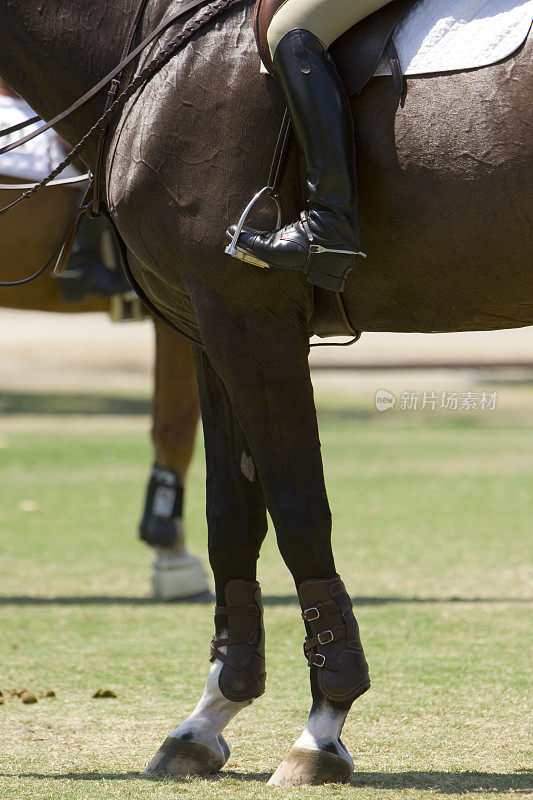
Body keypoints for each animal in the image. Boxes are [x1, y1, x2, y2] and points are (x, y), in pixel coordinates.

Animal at [1, 0, 528, 788]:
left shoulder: (248, 320)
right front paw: (211, 711)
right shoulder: (204, 324)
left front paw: (323, 726)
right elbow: (231, 515)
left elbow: (298, 510)